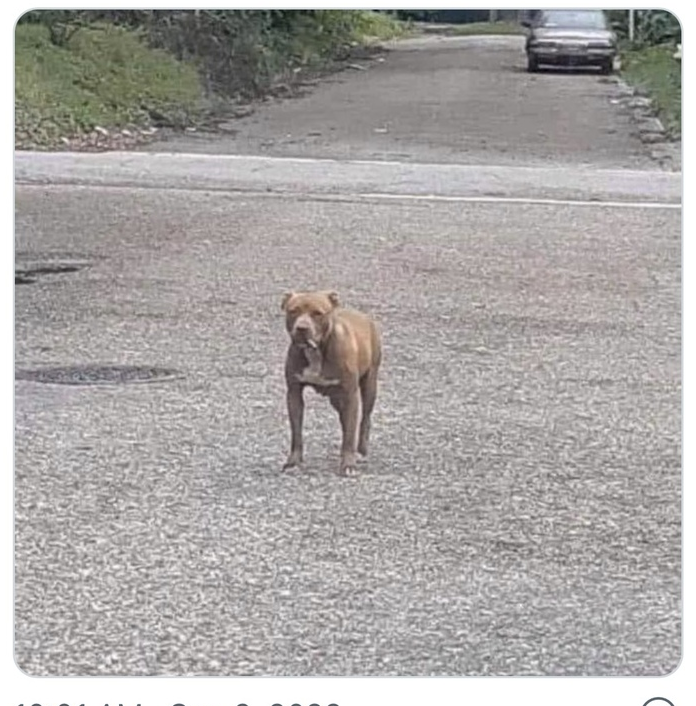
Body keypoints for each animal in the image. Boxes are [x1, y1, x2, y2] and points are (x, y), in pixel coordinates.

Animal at [282, 288, 380, 476]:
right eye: (293, 311)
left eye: (317, 313)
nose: (302, 328)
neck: (316, 351)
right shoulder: (294, 393)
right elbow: (296, 432)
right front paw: (294, 461)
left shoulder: (350, 394)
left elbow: (350, 433)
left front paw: (348, 464)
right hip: (336, 398)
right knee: (345, 419)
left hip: (369, 385)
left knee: (364, 419)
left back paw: (361, 450)